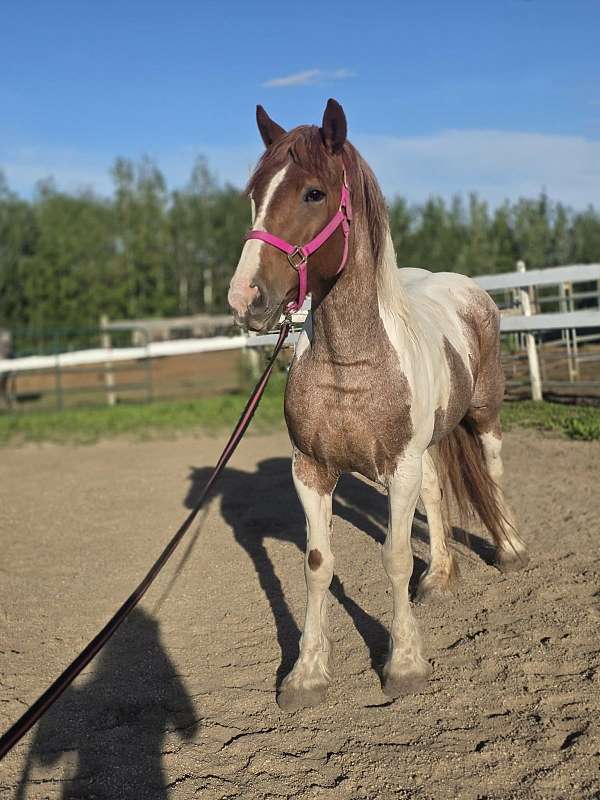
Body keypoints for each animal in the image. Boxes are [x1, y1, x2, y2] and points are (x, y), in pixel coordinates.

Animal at [228, 99, 528, 711]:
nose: (245, 298)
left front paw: (405, 665)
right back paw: (438, 577)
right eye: (255, 193)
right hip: (428, 445)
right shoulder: (311, 471)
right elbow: (317, 564)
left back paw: (509, 548)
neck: (352, 365)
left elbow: (393, 556)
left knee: (492, 469)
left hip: (484, 412)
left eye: (314, 193)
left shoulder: (399, 466)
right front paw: (307, 675)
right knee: (436, 493)